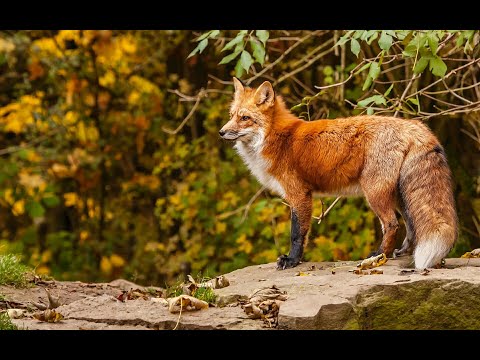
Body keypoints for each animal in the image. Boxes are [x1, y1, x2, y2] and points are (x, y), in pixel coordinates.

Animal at [220, 77, 458, 272]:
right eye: (231, 116)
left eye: (245, 118)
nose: (221, 132)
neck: (277, 139)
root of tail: (414, 125)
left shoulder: (299, 195)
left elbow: (297, 234)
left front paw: (292, 261)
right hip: (400, 194)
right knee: (411, 225)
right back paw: (401, 253)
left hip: (374, 192)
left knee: (392, 224)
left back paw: (379, 256)